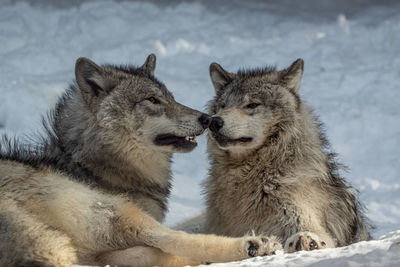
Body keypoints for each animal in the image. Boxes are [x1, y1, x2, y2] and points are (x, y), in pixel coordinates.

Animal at [0, 55, 280, 267]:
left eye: (172, 97)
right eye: (153, 100)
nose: (206, 119)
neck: (96, 165)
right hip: (116, 212)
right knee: (173, 241)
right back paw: (254, 245)